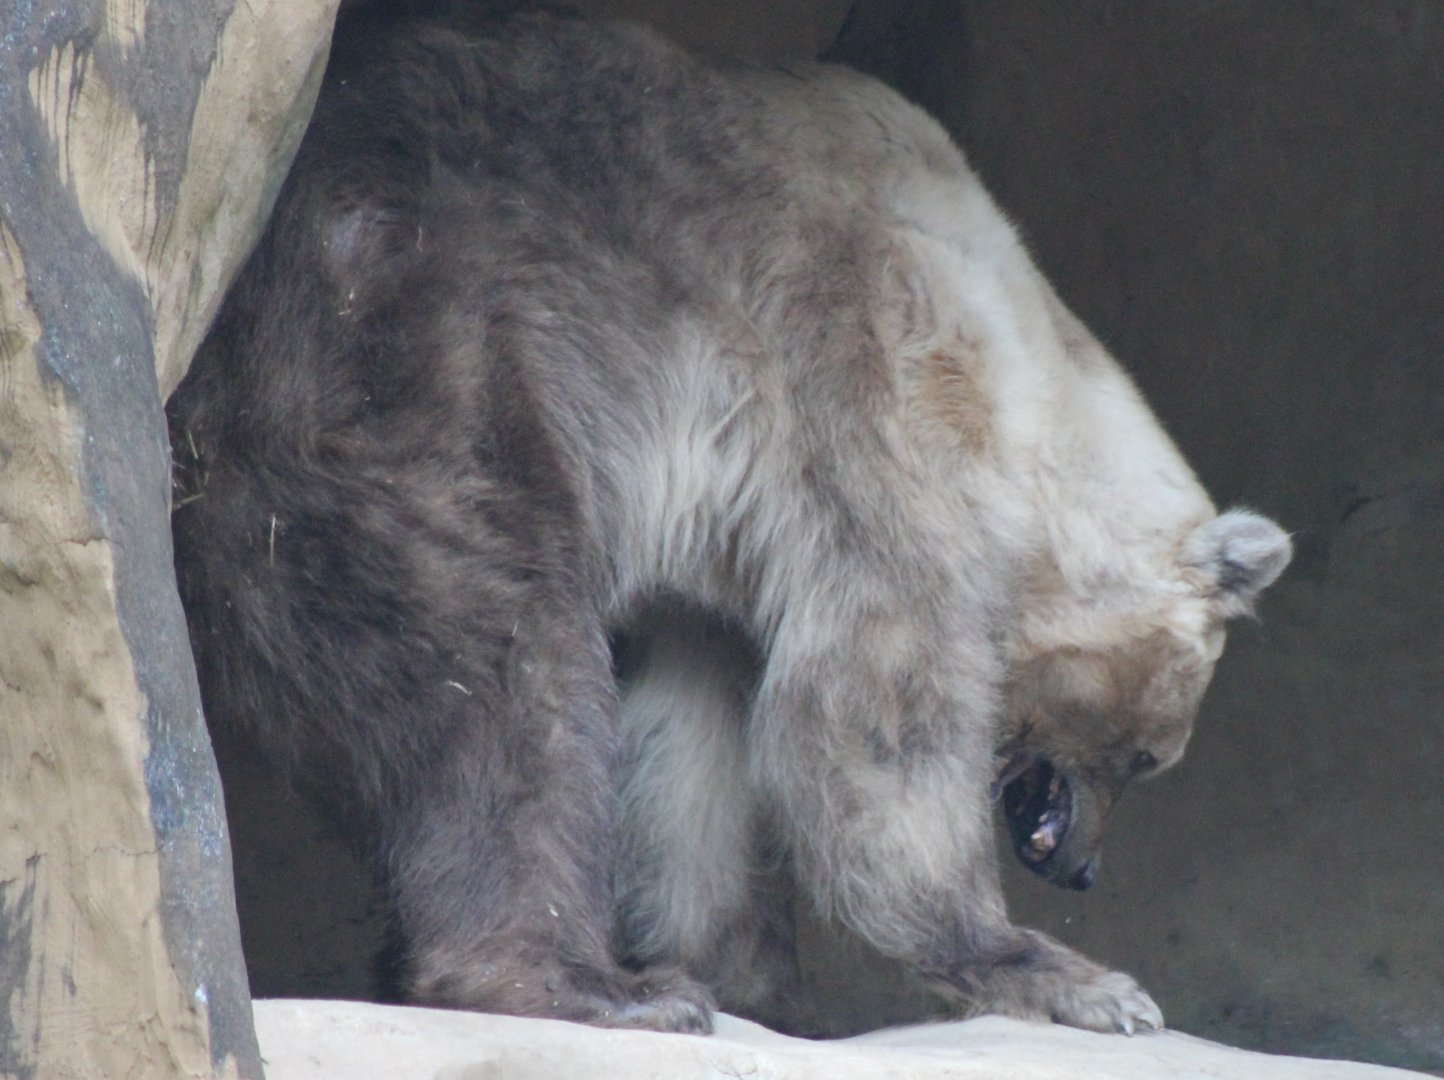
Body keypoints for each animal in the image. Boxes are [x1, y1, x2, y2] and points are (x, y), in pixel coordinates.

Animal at [168, 4, 1291, 1037]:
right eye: (1150, 753)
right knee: (497, 658)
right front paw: (1067, 974)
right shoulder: (868, 401)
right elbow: (876, 709)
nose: (1082, 870)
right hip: (410, 357)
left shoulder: (722, 545)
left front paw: (750, 977)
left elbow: (696, 744)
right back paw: (588, 983)